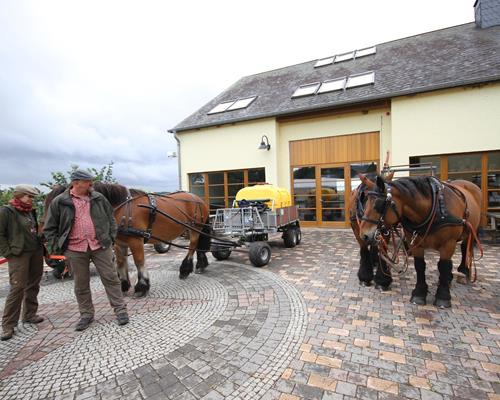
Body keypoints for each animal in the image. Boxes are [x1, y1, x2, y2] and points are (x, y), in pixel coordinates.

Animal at [43, 183, 213, 296]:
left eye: (56, 206)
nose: (45, 233)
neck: (121, 209)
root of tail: (198, 199)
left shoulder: (135, 241)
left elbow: (139, 262)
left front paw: (142, 286)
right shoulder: (119, 243)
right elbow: (120, 263)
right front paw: (124, 285)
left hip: (195, 228)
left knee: (192, 245)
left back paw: (185, 269)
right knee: (198, 246)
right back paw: (200, 265)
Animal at [358, 175, 482, 310]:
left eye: (378, 204)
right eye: (365, 202)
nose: (364, 235)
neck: (433, 210)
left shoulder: (448, 244)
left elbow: (443, 266)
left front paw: (443, 297)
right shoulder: (415, 243)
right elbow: (420, 266)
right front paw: (419, 294)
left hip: (472, 231)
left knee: (466, 248)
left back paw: (464, 272)